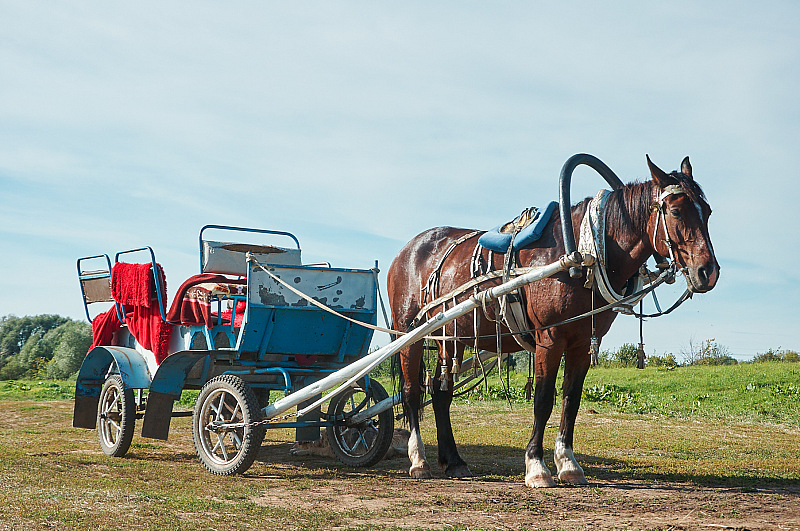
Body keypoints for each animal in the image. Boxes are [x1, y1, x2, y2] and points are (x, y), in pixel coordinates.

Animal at [388, 156, 720, 488]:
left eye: (707, 211)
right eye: (676, 211)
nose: (708, 272)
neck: (582, 254)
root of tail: (408, 250)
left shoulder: (582, 341)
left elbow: (571, 399)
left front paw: (568, 463)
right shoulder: (549, 338)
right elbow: (543, 399)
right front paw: (536, 466)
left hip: (450, 337)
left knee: (440, 393)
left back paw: (454, 460)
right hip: (409, 332)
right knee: (411, 393)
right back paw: (419, 460)